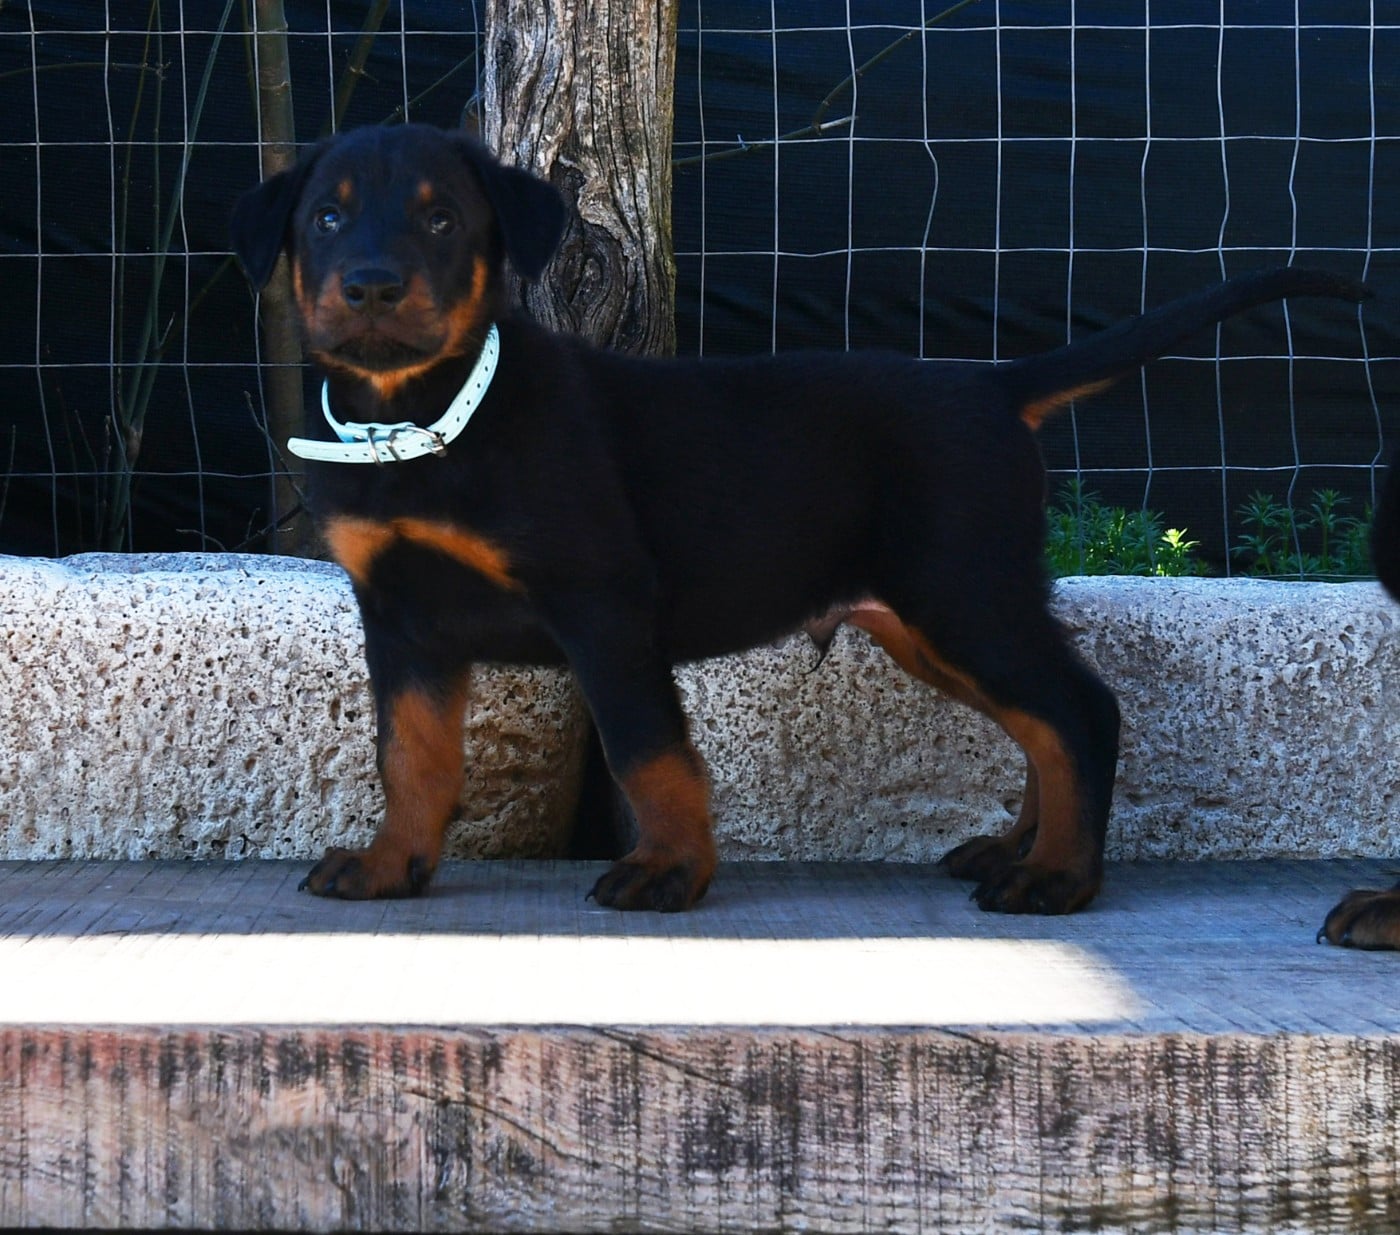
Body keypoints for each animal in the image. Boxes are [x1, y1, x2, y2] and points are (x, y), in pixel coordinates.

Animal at [230, 122, 1369, 914]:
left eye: (439, 219)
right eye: (325, 217)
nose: (370, 286)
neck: (423, 419)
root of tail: (994, 385)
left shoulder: (602, 601)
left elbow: (648, 748)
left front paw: (669, 870)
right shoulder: (402, 621)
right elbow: (412, 754)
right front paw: (393, 863)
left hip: (961, 591)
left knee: (1077, 710)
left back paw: (1057, 879)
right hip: (928, 617)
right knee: (1043, 718)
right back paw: (1020, 850)